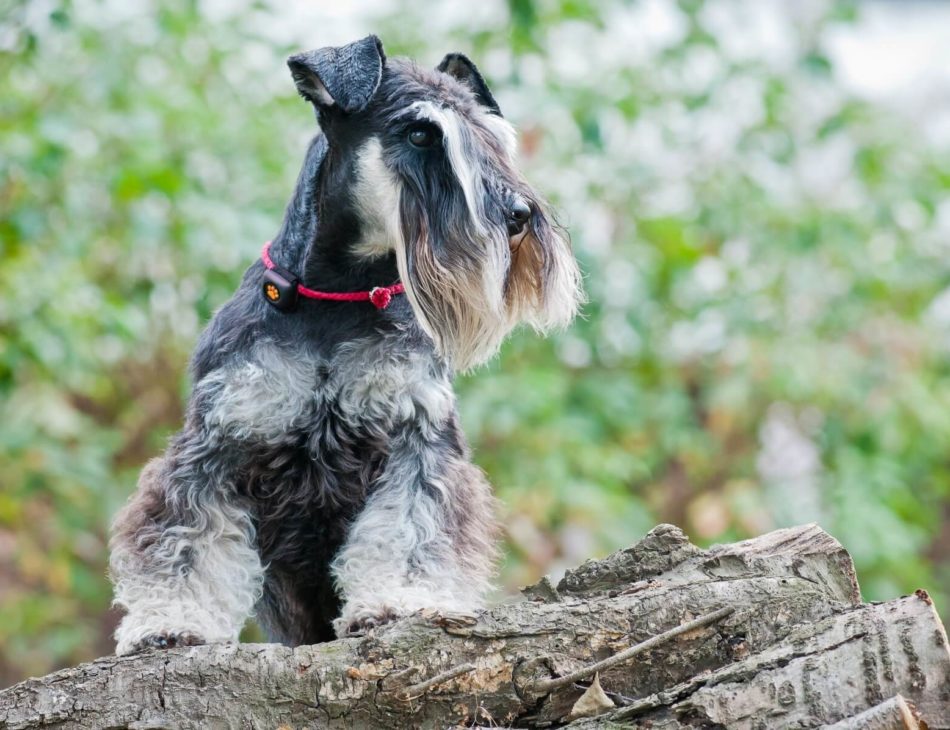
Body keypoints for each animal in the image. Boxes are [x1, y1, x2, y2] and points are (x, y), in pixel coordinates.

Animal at [108, 34, 584, 652]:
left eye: (494, 138)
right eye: (421, 134)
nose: (519, 216)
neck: (339, 294)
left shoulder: (416, 439)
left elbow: (410, 529)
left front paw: (399, 600)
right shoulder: (218, 441)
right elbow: (188, 536)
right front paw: (172, 622)